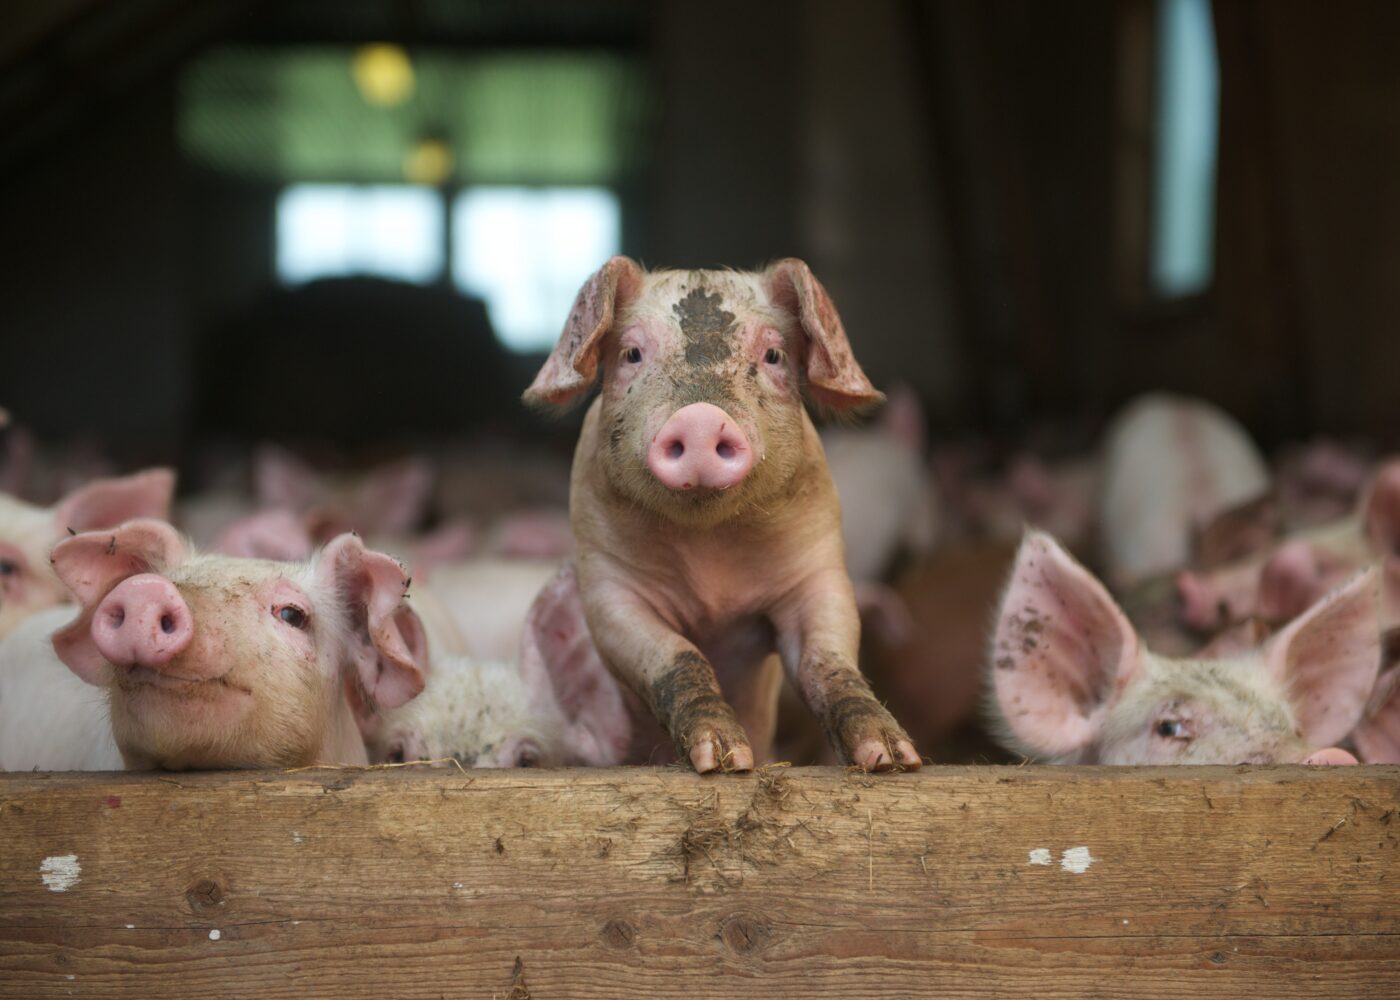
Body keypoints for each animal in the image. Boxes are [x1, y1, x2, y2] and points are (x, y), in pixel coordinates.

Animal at [523, 257, 918, 773]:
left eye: (774, 355)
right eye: (631, 353)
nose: (700, 418)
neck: (713, 574)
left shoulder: (818, 570)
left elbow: (828, 660)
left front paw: (891, 758)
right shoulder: (609, 590)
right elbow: (679, 657)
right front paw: (725, 760)